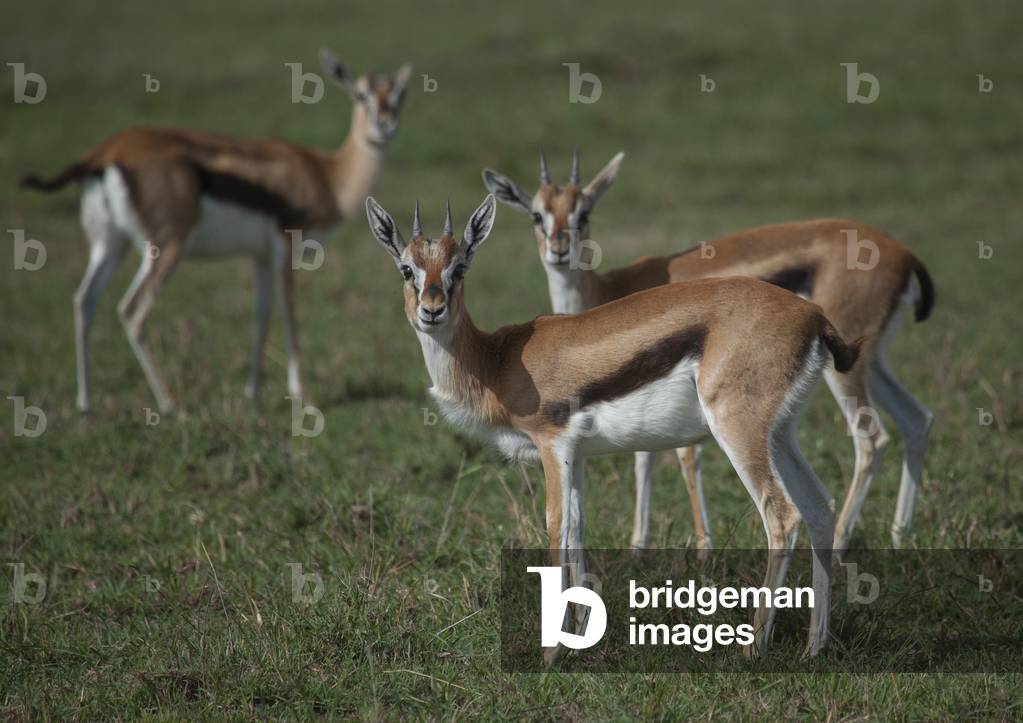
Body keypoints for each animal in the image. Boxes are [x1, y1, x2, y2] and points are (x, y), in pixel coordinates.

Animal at [19, 50, 412, 414]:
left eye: (399, 95)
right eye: (361, 94)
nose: (385, 124)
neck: (327, 175)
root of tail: (106, 152)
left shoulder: (259, 255)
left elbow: (261, 313)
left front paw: (252, 392)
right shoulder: (287, 246)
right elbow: (289, 313)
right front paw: (304, 398)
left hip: (109, 245)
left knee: (84, 300)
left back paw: (85, 404)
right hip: (165, 247)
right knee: (131, 310)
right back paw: (171, 405)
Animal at [365, 192, 862, 663]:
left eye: (460, 267)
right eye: (407, 268)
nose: (432, 309)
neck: (498, 360)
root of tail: (813, 317)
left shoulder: (551, 445)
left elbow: (555, 530)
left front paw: (551, 652)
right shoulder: (577, 457)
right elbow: (578, 531)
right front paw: (581, 637)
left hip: (738, 432)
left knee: (782, 515)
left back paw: (752, 649)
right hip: (780, 435)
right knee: (819, 508)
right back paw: (815, 646)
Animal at [483, 150, 935, 553]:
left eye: (584, 213)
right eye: (537, 215)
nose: (559, 249)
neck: (607, 289)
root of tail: (902, 252)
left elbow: (684, 457)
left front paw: (703, 549)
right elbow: (642, 457)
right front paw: (638, 545)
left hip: (839, 374)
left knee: (871, 439)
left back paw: (841, 541)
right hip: (869, 360)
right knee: (917, 419)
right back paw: (899, 534)